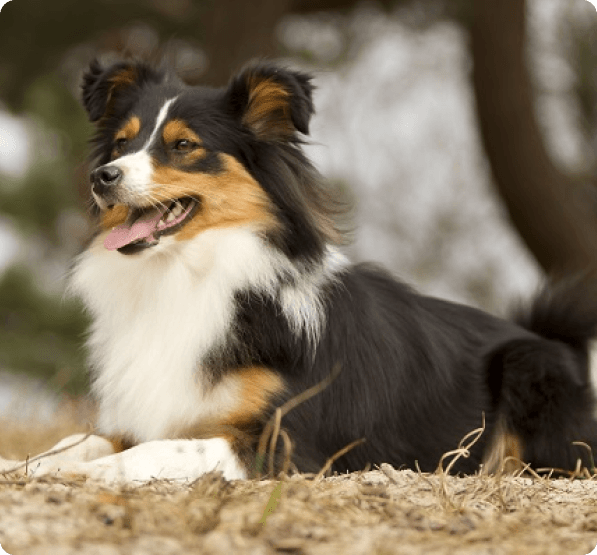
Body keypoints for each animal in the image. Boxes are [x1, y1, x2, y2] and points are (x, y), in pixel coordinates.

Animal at [1, 59, 596, 482]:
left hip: (527, 367)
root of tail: (553, 340)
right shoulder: (147, 410)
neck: (189, 273)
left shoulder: (286, 441)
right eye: (121, 143)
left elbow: (160, 450)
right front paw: (25, 465)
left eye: (184, 145)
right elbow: (81, 440)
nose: (103, 177)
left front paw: (90, 474)